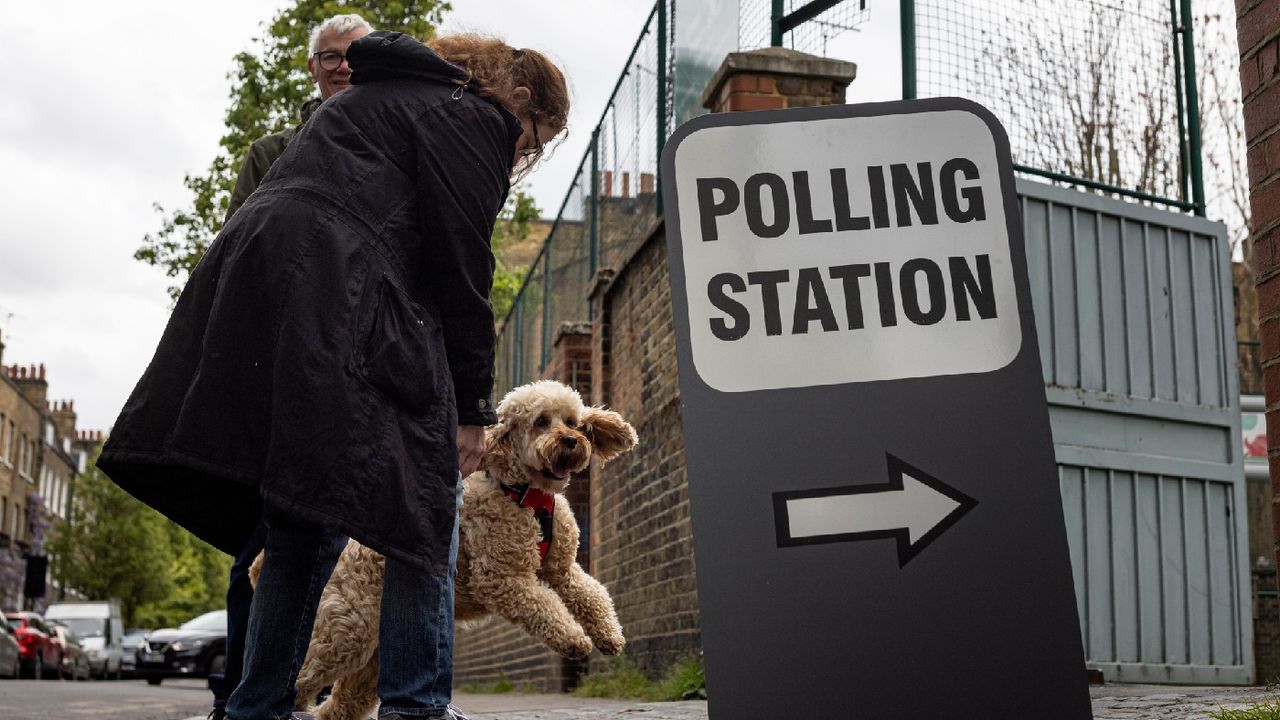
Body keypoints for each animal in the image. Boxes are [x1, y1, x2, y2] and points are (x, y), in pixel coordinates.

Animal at [257, 379, 637, 712]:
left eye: (572, 422)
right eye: (541, 422)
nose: (571, 440)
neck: (525, 496)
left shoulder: (563, 570)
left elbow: (593, 595)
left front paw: (609, 635)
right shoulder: (504, 580)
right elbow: (544, 608)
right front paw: (574, 639)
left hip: (373, 657)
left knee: (338, 706)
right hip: (345, 635)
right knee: (302, 680)